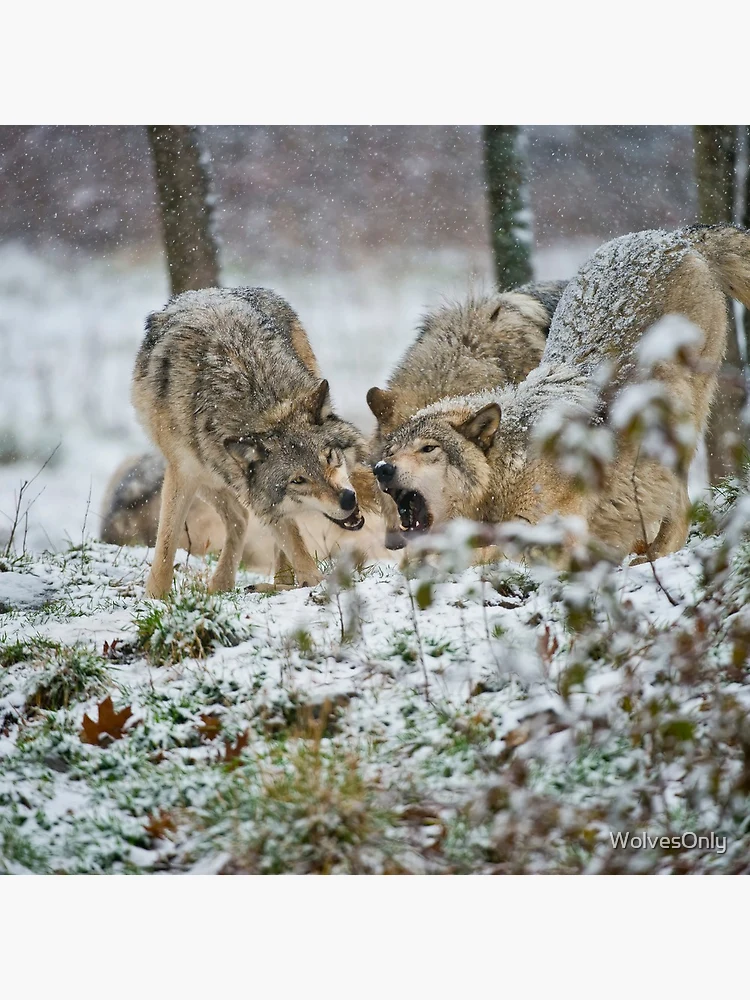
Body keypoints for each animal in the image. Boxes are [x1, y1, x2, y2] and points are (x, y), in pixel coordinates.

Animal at [132, 286, 399, 598]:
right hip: (209, 473)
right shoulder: (184, 473)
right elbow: (165, 543)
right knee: (240, 517)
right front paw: (155, 597)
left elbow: (293, 543)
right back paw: (226, 583)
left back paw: (275, 583)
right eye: (298, 480)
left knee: (252, 521)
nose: (347, 499)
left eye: (330, 457)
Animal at [373, 226, 750, 558]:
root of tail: (672, 235)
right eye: (389, 451)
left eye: (428, 449)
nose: (382, 469)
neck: (510, 468)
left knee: (680, 504)